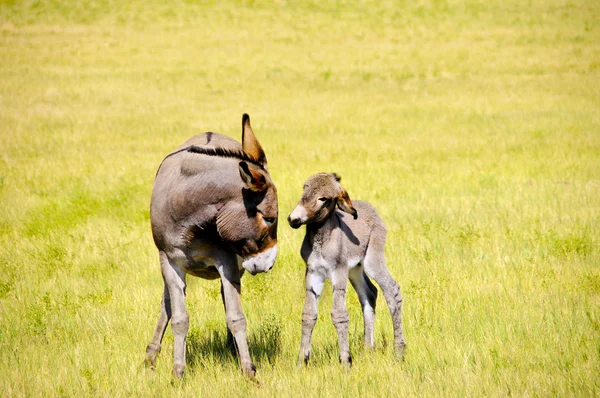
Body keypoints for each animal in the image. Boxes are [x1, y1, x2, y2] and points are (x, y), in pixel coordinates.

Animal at [288, 173, 406, 366]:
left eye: (323, 198)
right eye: (305, 189)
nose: (293, 219)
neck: (320, 238)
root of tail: (370, 207)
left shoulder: (339, 271)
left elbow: (339, 315)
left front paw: (345, 361)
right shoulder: (313, 272)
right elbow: (308, 315)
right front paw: (301, 362)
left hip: (372, 261)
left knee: (392, 290)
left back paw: (399, 351)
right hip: (355, 269)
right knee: (370, 293)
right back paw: (368, 349)